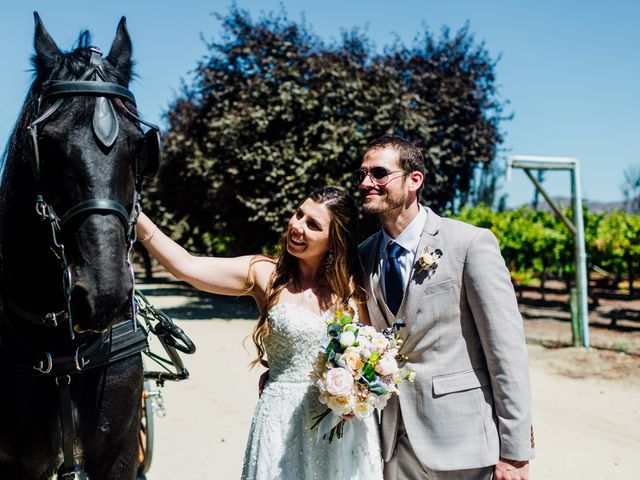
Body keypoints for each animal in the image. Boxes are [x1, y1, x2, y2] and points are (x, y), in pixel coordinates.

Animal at [0, 14, 159, 480]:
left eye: (139, 146)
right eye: (48, 143)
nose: (104, 296)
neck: (64, 356)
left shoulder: (120, 454)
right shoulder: (16, 463)